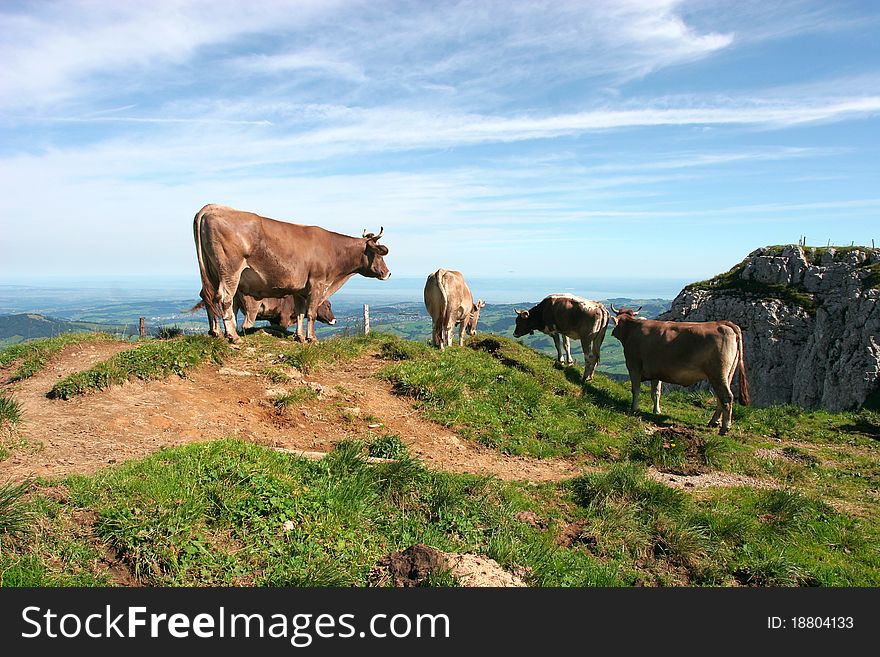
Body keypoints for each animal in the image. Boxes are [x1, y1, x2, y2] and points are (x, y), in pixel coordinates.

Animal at [194, 204, 390, 344]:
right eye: (380, 253)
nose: (388, 273)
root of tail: (213, 207)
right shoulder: (317, 283)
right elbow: (311, 313)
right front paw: (312, 339)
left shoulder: (300, 289)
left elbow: (301, 312)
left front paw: (300, 337)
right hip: (230, 270)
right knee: (224, 298)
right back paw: (233, 336)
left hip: (212, 272)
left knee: (208, 297)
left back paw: (216, 332)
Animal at [612, 304, 748, 434]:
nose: (612, 332)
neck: (632, 329)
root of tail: (722, 323)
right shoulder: (656, 371)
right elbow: (656, 393)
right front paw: (657, 411)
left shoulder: (633, 366)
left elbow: (636, 390)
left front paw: (634, 408)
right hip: (726, 374)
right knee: (720, 397)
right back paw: (713, 422)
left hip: (717, 373)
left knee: (726, 397)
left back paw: (725, 428)